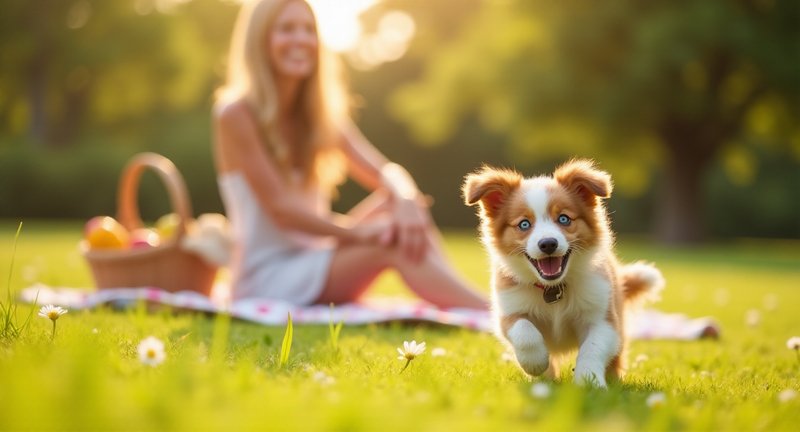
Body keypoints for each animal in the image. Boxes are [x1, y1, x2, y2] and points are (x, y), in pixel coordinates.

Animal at [462, 159, 664, 388]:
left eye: (564, 219)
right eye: (524, 224)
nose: (548, 244)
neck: (553, 288)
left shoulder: (603, 318)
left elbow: (592, 348)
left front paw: (589, 381)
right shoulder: (509, 310)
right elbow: (524, 332)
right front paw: (536, 364)